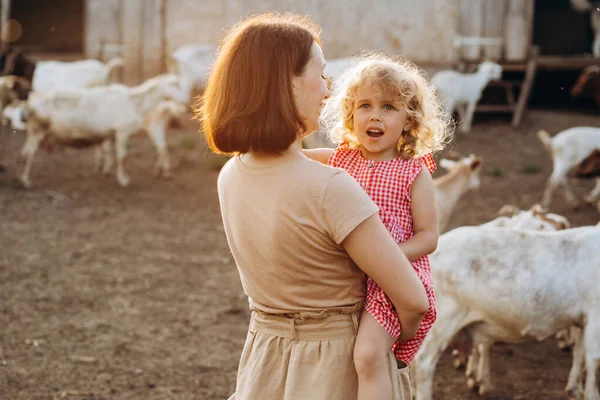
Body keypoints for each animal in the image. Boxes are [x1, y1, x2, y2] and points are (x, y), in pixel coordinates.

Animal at [18, 74, 185, 188]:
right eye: (173, 84)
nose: (184, 100)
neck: (136, 102)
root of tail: (30, 102)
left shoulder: (112, 134)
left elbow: (111, 153)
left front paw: (108, 172)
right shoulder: (122, 132)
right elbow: (122, 157)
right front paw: (124, 180)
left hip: (32, 131)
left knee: (24, 153)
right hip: (38, 130)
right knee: (28, 154)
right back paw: (26, 181)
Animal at [412, 225, 600, 400]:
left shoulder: (584, 320)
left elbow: (580, 354)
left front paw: (575, 390)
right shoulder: (595, 317)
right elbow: (594, 362)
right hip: (443, 321)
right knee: (423, 363)